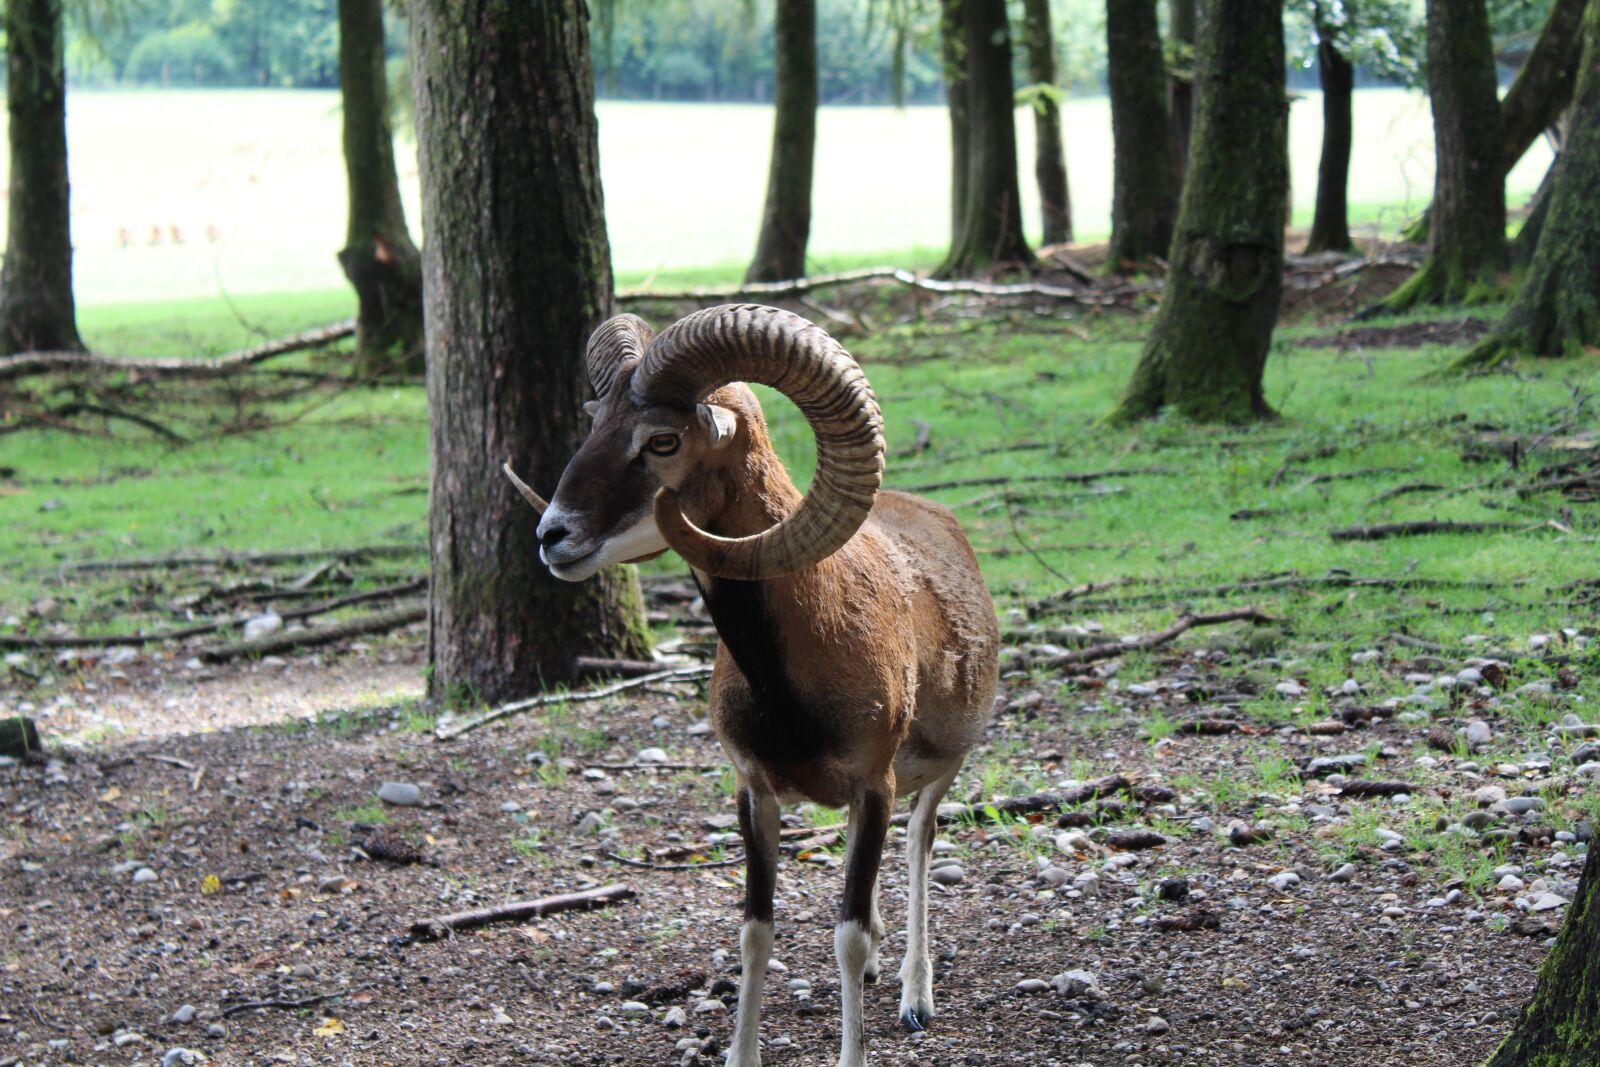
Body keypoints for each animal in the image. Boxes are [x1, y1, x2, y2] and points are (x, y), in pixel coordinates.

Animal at [504, 304, 999, 1067]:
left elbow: (847, 937)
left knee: (920, 840)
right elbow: (756, 932)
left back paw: (915, 996)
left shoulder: (875, 786)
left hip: (938, 774)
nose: (551, 536)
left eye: (662, 440)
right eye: (595, 424)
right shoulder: (754, 793)